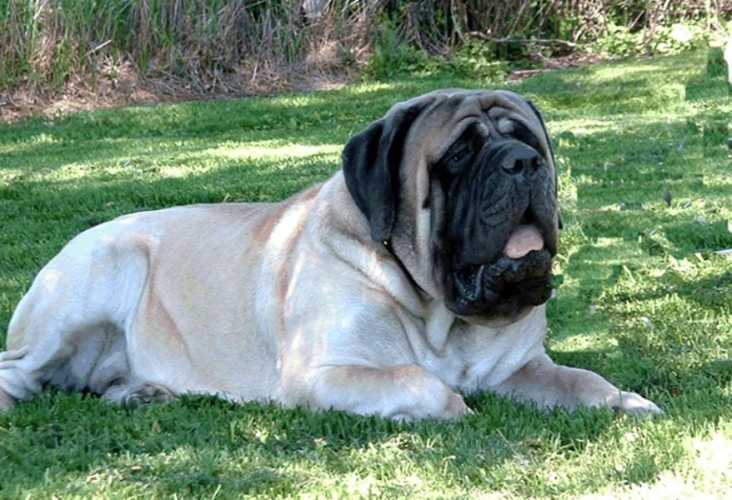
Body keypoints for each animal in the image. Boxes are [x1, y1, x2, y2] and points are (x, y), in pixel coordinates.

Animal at [0, 89, 664, 418]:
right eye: (458, 155)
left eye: (529, 142)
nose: (522, 163)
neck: (444, 321)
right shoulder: (324, 373)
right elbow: (425, 385)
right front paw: (457, 408)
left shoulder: (521, 369)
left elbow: (583, 381)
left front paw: (625, 401)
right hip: (98, 275)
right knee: (20, 371)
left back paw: (141, 392)